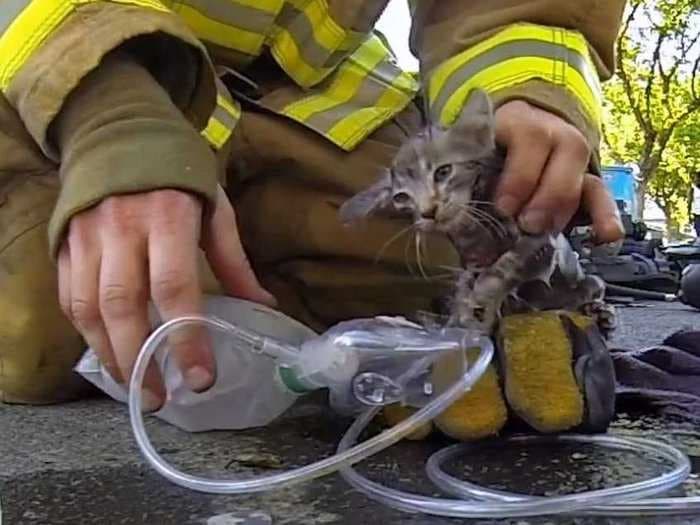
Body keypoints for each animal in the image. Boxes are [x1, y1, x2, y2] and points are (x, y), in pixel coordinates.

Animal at [336, 89, 616, 336]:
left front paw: (479, 304)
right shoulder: (473, 260)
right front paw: (461, 320)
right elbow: (469, 283)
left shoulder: (539, 234)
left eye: (443, 172)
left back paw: (598, 311)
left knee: (593, 285)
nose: (428, 212)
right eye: (401, 197)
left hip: (583, 280)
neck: (475, 224)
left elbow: (502, 269)